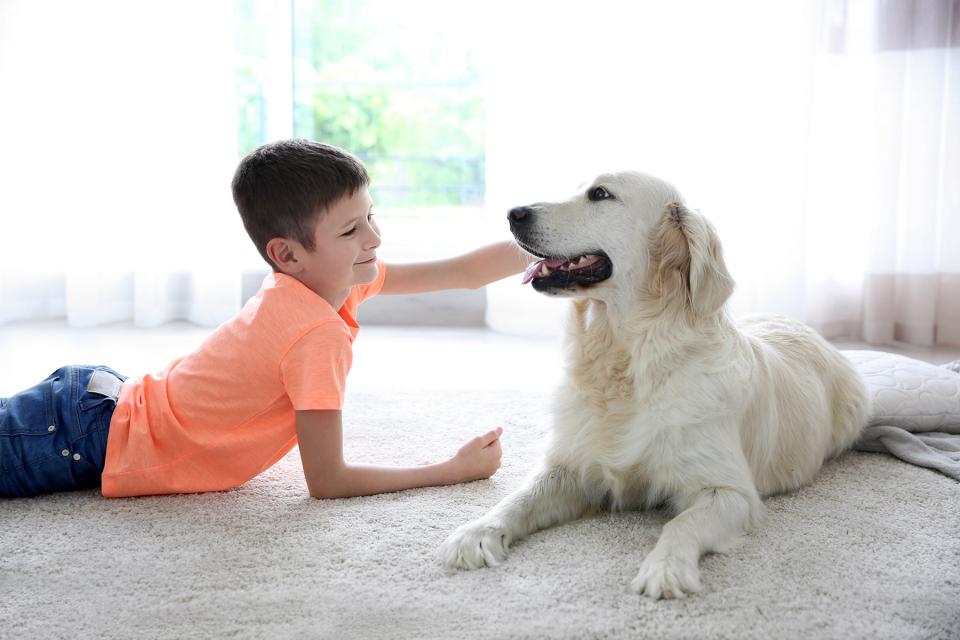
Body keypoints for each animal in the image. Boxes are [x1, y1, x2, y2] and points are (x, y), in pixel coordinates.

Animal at [440, 171, 872, 600]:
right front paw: (477, 531)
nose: (514, 213)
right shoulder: (570, 468)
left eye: (600, 194)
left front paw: (665, 568)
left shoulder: (729, 491)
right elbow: (519, 498)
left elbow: (681, 523)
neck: (626, 359)